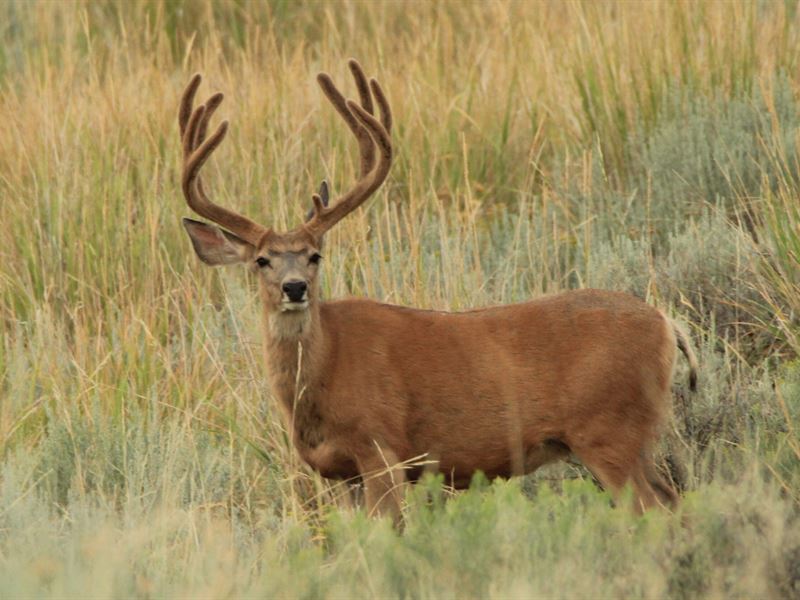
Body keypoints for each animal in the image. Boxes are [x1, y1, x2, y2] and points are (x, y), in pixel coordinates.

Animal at [178, 59, 696, 520]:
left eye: (314, 255)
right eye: (261, 260)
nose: (294, 287)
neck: (323, 376)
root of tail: (668, 325)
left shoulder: (383, 450)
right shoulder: (340, 475)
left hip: (610, 429)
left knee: (654, 510)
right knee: (673, 500)